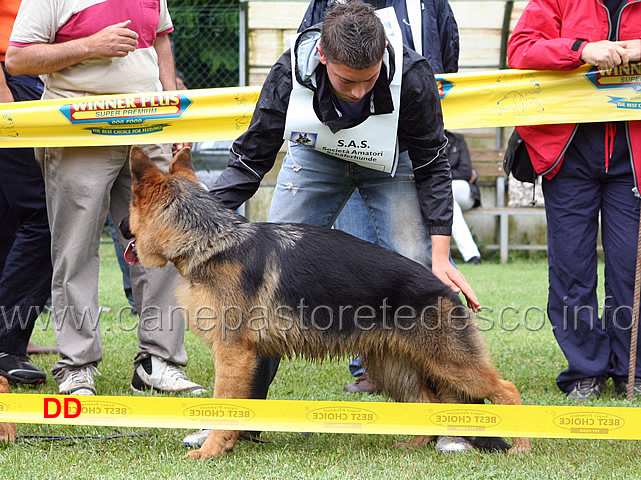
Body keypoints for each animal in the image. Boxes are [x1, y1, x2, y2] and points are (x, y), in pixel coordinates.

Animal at [121, 145, 528, 458]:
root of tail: (443, 286)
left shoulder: (233, 356)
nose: (121, 229)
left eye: (129, 206)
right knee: (429, 405)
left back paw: (521, 445)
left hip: (451, 363)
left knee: (507, 390)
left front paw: (212, 451)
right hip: (395, 370)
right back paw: (415, 444)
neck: (210, 238)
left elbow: (227, 405)